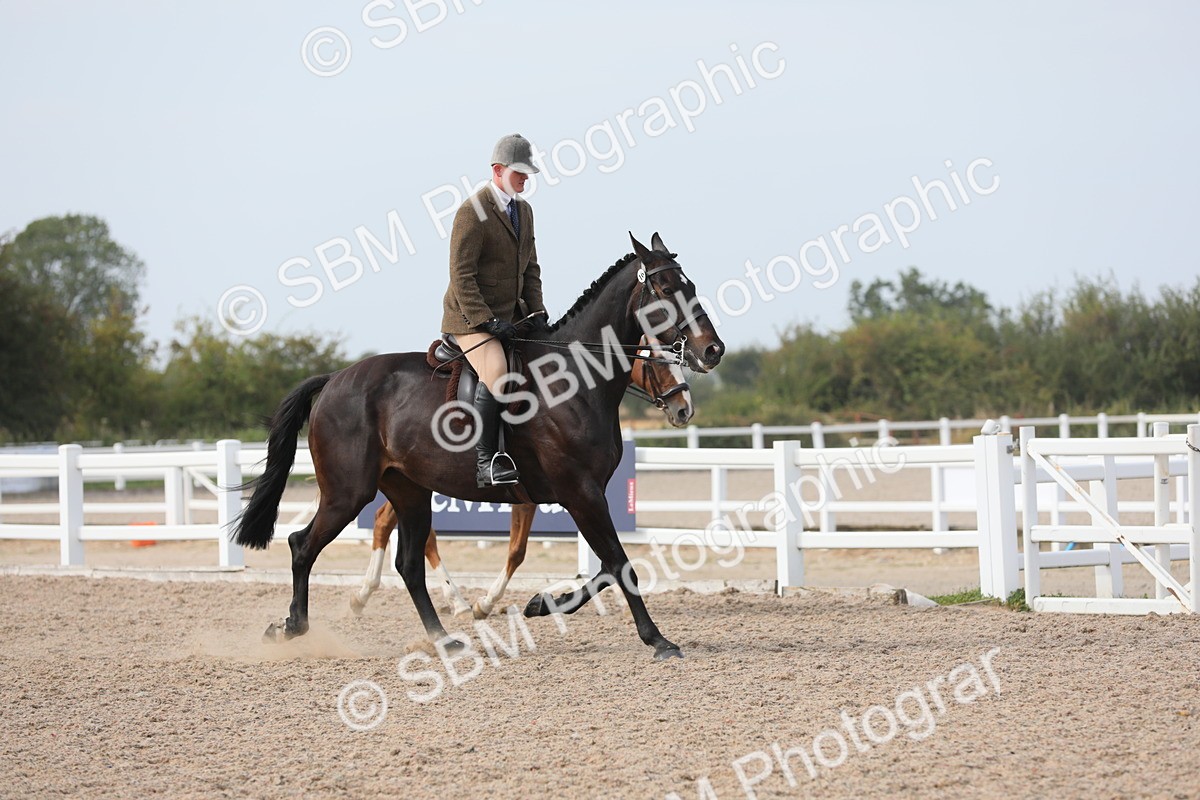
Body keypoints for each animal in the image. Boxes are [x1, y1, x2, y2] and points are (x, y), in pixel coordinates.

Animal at [349, 334, 695, 619]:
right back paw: (445, 600)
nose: (684, 409)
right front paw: (486, 603)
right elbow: (518, 550)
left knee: (387, 521)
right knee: (401, 528)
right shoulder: (558, 494)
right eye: (653, 358)